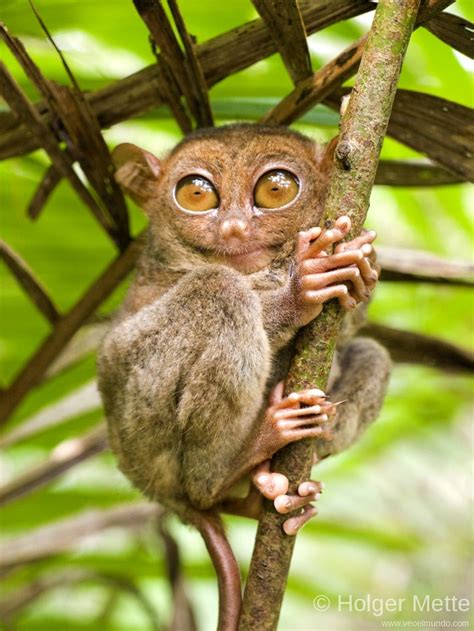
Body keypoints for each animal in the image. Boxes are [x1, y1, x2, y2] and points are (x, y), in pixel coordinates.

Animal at [98, 124, 390, 631]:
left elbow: (351, 327)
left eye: (276, 189)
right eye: (196, 194)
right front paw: (297, 289)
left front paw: (363, 272)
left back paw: (265, 495)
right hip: (141, 426)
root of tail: (153, 489)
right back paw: (237, 462)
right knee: (219, 289)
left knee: (373, 354)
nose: (233, 227)